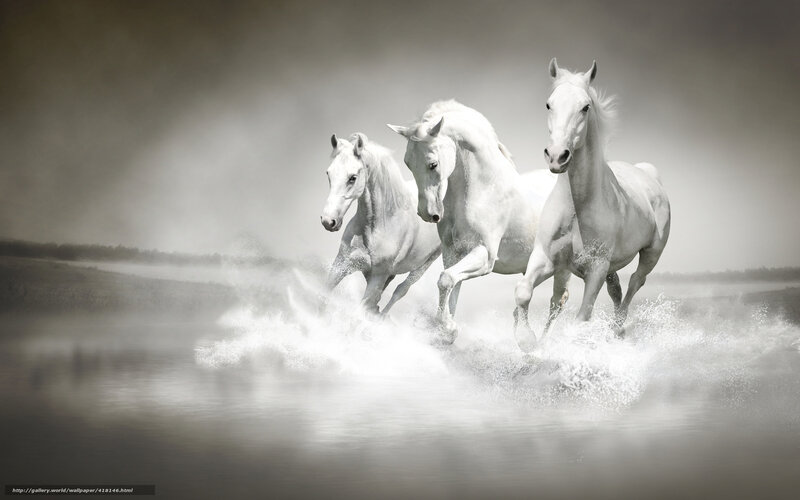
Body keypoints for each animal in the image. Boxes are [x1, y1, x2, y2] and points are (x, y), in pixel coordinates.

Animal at [320, 133, 441, 314]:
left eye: (352, 178)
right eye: (329, 174)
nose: (328, 221)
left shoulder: (377, 277)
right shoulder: (341, 264)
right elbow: (323, 298)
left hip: (424, 265)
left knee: (400, 290)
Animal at [388, 100, 567, 344]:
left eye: (433, 164)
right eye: (407, 163)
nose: (427, 213)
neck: (483, 190)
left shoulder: (485, 255)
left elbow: (445, 280)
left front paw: (447, 327)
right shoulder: (453, 253)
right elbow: (451, 286)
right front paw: (446, 330)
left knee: (558, 301)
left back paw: (537, 344)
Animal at [513, 59, 671, 347]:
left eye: (585, 107)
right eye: (549, 104)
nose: (557, 156)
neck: (577, 208)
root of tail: (649, 174)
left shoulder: (596, 269)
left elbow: (582, 317)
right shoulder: (546, 258)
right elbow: (524, 291)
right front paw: (527, 340)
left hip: (651, 254)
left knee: (635, 282)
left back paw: (617, 329)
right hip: (606, 267)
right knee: (614, 289)